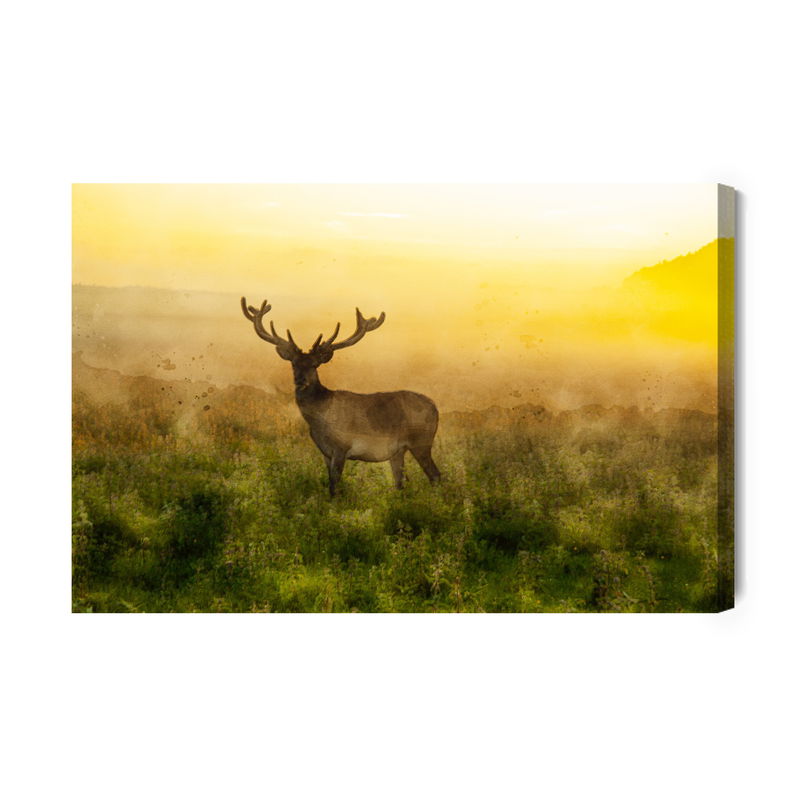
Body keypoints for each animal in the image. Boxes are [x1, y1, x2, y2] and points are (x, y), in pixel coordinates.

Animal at [241, 297, 441, 496]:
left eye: (314, 365)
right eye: (293, 364)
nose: (300, 380)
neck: (319, 420)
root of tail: (435, 407)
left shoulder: (341, 446)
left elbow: (335, 484)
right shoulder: (325, 451)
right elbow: (330, 481)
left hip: (421, 441)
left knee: (435, 475)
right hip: (398, 451)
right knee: (401, 481)